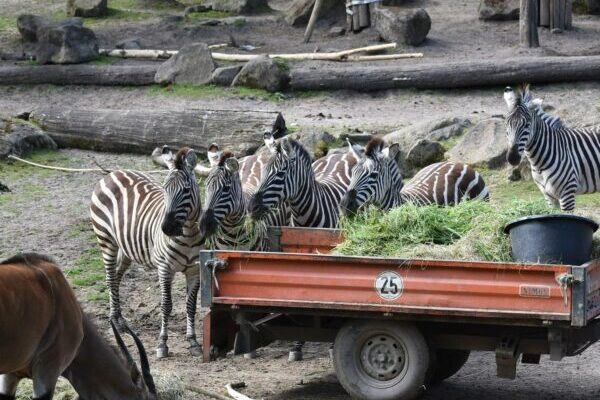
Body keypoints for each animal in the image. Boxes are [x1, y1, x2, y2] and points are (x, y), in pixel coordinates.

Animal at [90, 145, 204, 358]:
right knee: (110, 277)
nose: (166, 228)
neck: (189, 235)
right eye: (165, 189)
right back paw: (115, 321)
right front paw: (162, 344)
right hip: (106, 239)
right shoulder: (165, 268)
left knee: (116, 277)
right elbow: (166, 305)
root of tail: (114, 173)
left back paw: (119, 320)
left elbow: (191, 305)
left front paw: (193, 341)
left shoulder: (195, 269)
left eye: (186, 190)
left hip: (127, 248)